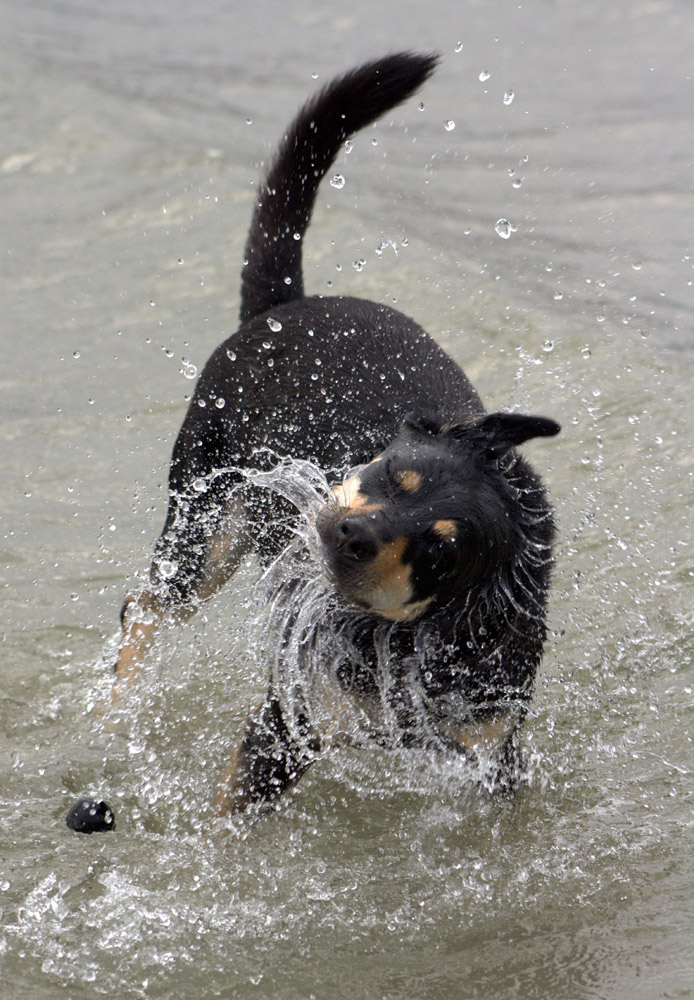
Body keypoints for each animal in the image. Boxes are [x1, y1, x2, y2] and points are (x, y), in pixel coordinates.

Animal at [75, 50, 560, 824]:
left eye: (440, 551)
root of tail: (283, 306)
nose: (353, 534)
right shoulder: (288, 723)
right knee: (145, 608)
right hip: (207, 525)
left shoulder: (490, 751)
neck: (406, 640)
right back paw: (112, 711)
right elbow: (227, 820)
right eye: (393, 474)